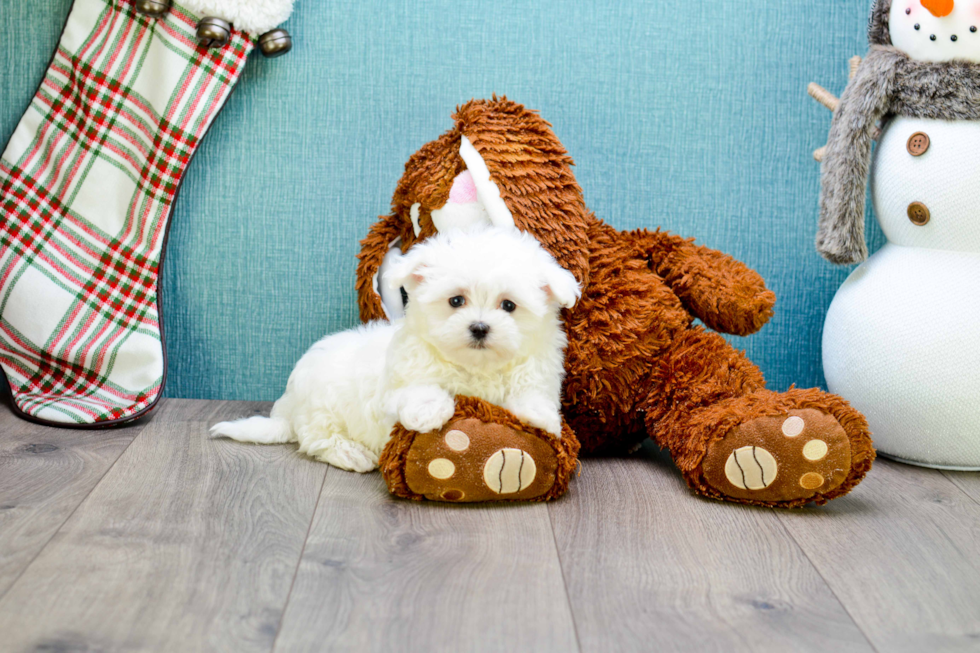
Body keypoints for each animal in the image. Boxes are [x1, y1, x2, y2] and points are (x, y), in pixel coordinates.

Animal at [211, 229, 580, 474]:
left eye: (508, 305)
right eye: (456, 300)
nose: (479, 327)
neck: (476, 367)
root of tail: (288, 409)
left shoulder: (538, 367)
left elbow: (531, 391)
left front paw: (541, 415)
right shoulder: (397, 385)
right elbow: (418, 391)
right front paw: (430, 410)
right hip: (322, 408)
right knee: (318, 439)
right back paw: (351, 454)